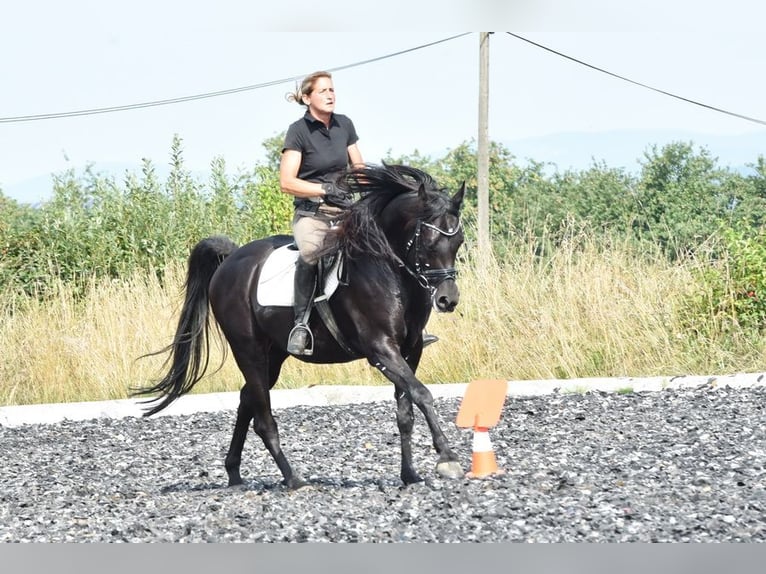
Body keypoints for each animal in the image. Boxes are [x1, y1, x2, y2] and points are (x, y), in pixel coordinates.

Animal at [134, 164, 466, 489]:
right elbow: (422, 394)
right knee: (263, 418)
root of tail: (231, 261)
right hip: (248, 350)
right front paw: (447, 458)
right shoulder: (381, 349)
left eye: (458, 241)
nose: (447, 300)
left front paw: (410, 474)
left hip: (273, 355)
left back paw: (235, 474)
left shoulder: (410, 350)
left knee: (247, 401)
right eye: (429, 242)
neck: (387, 271)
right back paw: (293, 478)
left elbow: (405, 411)